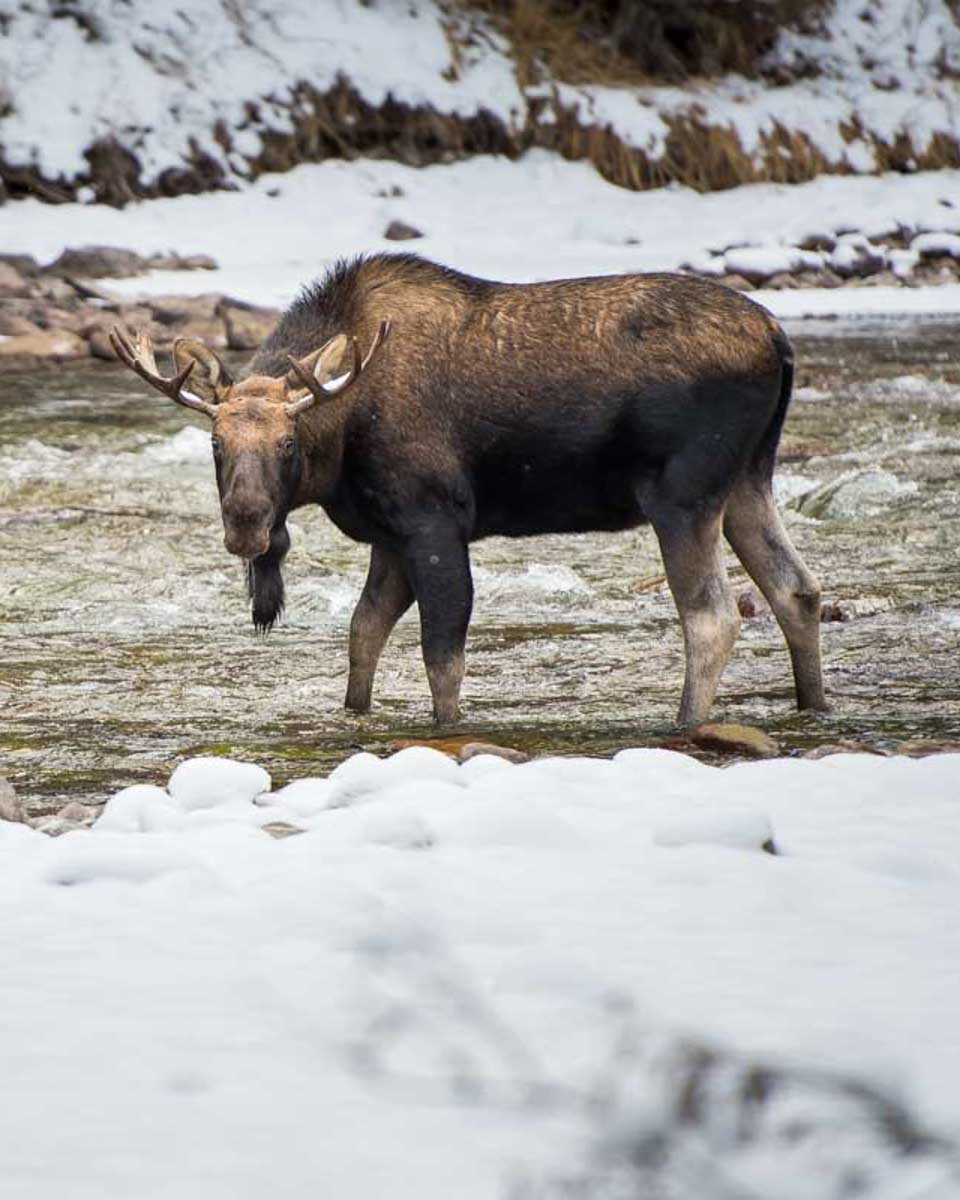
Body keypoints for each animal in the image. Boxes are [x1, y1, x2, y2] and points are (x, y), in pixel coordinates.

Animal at [110, 253, 826, 727]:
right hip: (748, 480)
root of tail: (780, 339)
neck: (341, 438)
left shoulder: (434, 518)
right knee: (797, 590)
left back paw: (683, 723)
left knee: (712, 615)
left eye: (288, 443)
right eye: (215, 444)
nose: (246, 526)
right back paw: (812, 704)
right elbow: (363, 634)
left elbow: (442, 656)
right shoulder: (389, 535)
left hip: (683, 495)